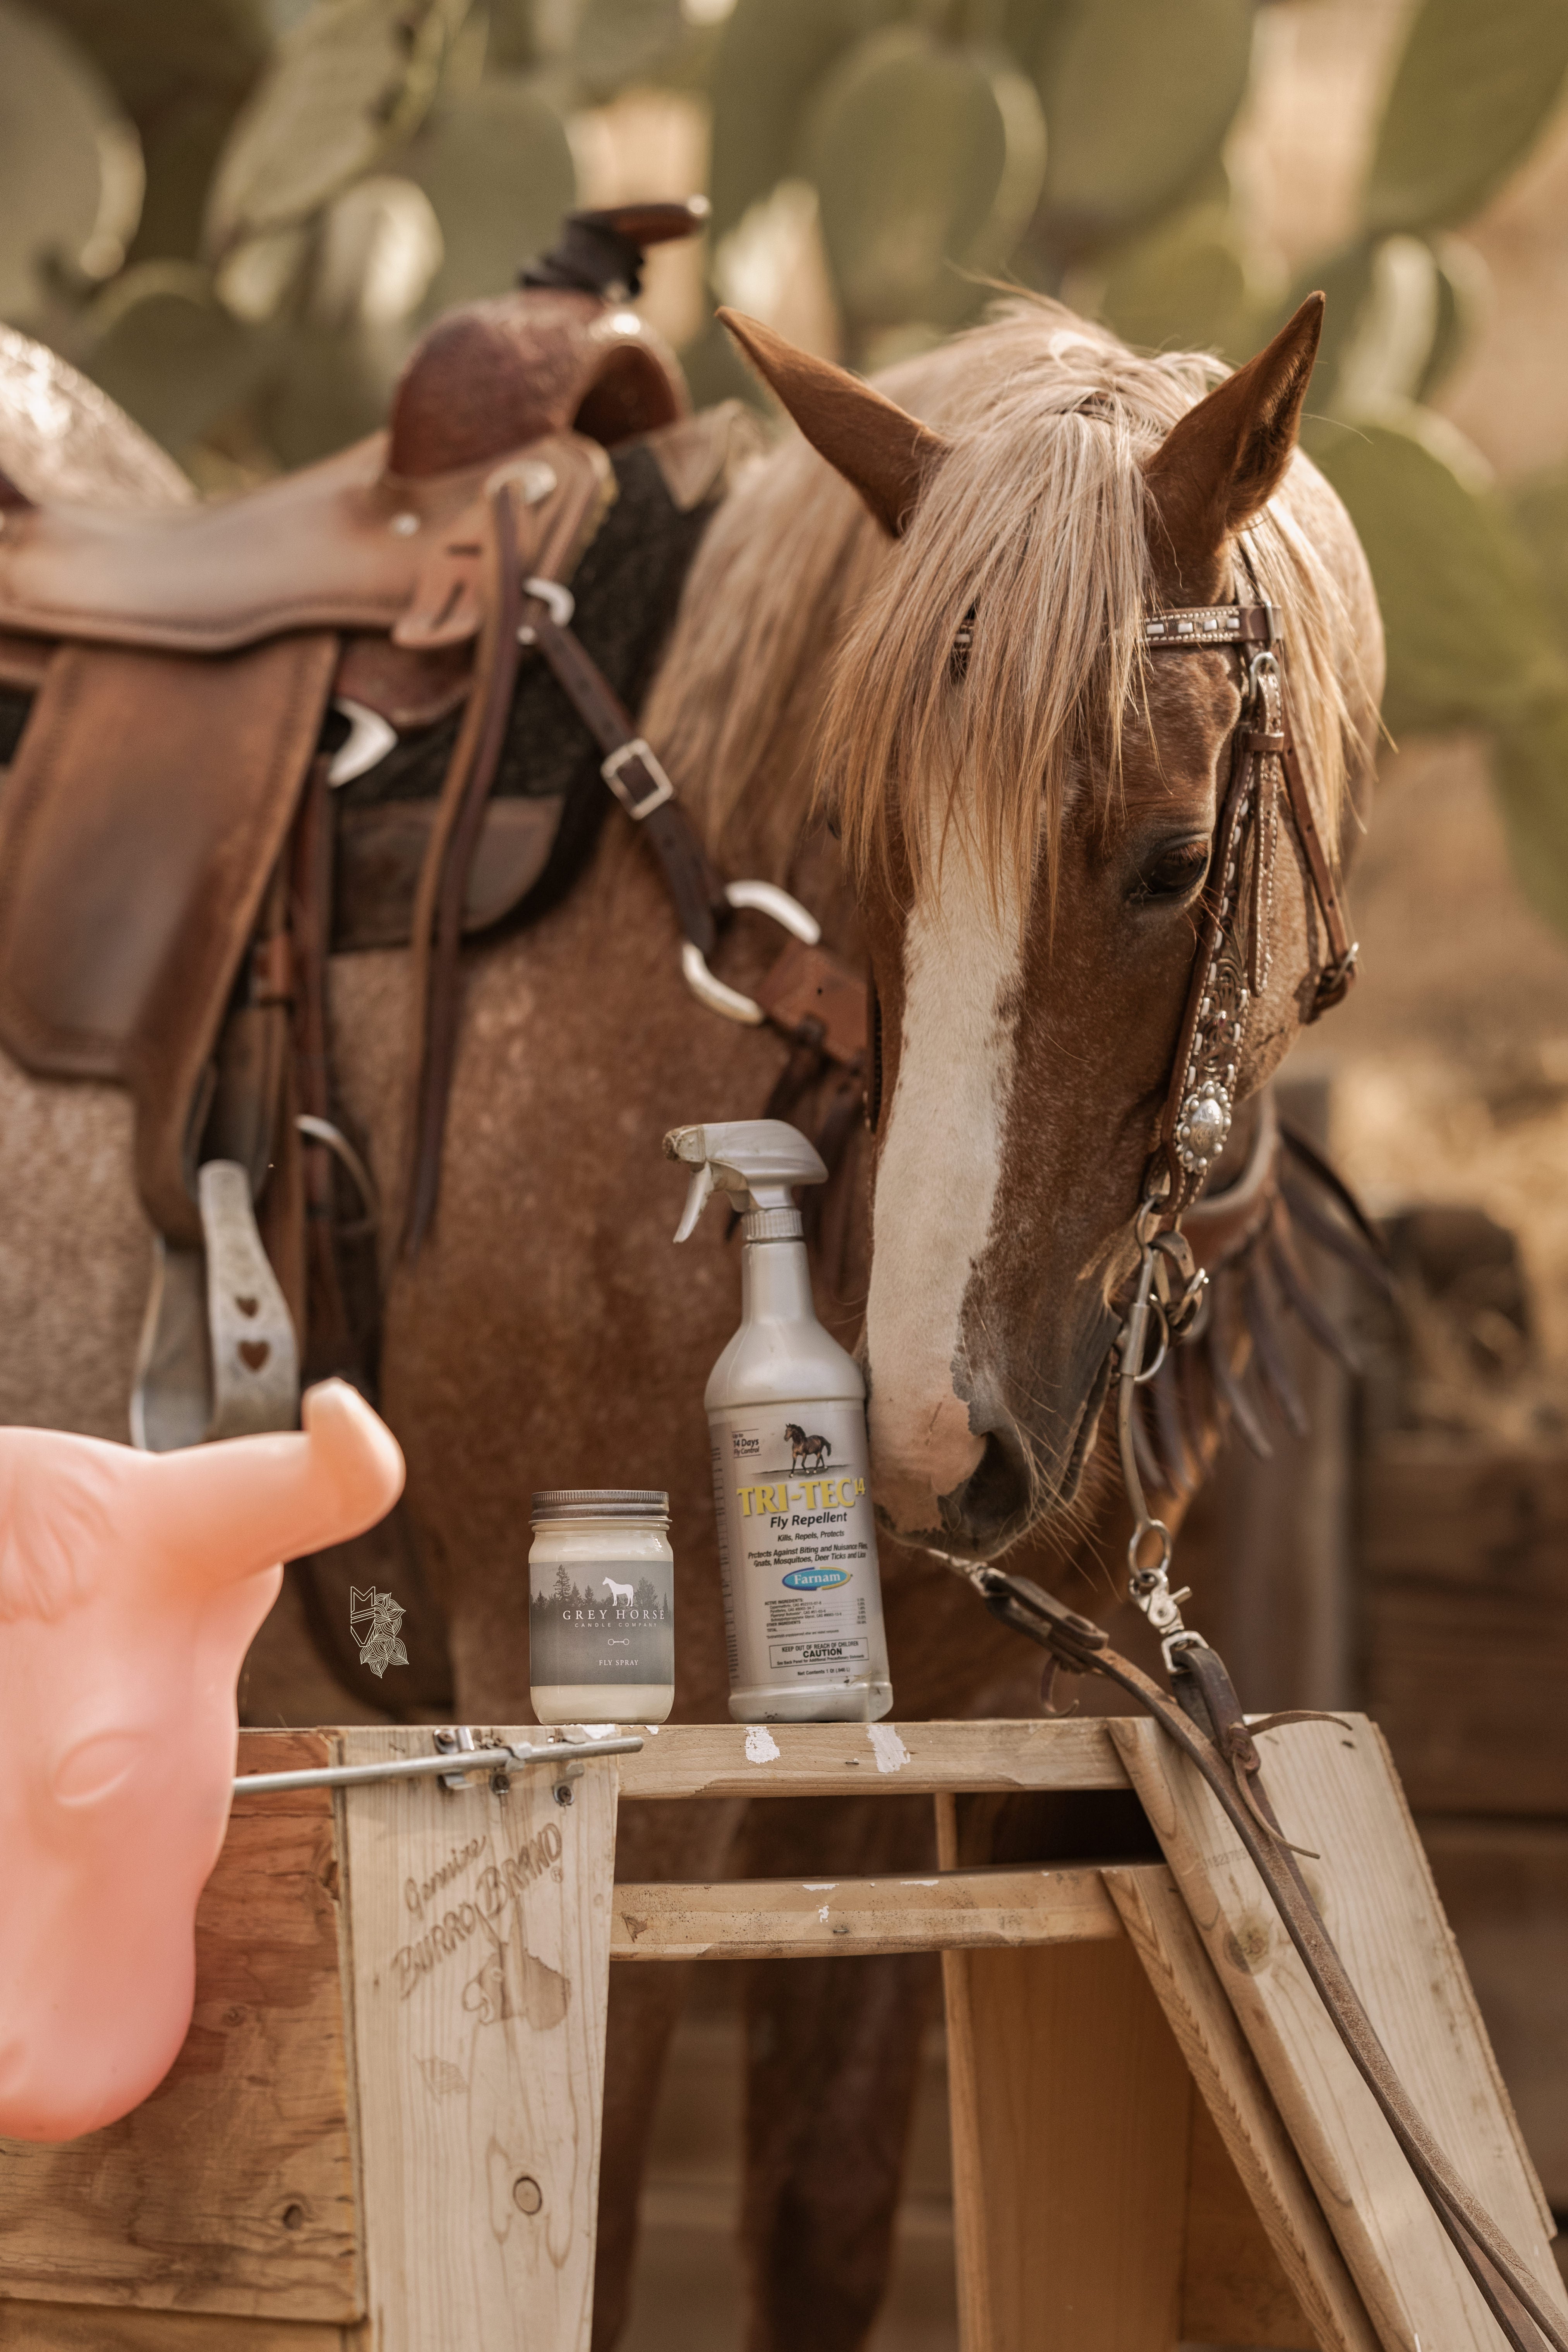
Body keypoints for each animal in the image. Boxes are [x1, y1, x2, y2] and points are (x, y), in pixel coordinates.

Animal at [0, 285, 1382, 2342]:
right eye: (859, 844)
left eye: (1162, 862)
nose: (936, 1441)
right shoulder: (606, 1785)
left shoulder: (934, 1768)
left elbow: (820, 2221)